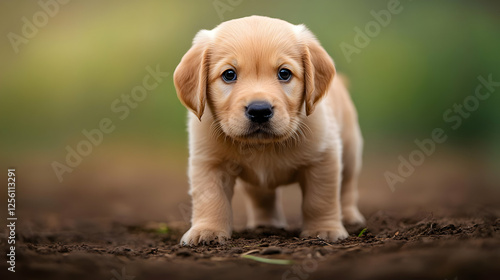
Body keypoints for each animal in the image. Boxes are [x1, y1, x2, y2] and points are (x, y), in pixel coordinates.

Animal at [174, 15, 366, 245]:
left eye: (284, 73)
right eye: (229, 74)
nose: (259, 110)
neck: (262, 146)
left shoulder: (323, 157)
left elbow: (320, 199)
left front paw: (324, 230)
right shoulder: (209, 162)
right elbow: (211, 198)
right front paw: (207, 231)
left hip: (350, 150)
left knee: (347, 187)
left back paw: (349, 216)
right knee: (261, 197)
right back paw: (265, 224)